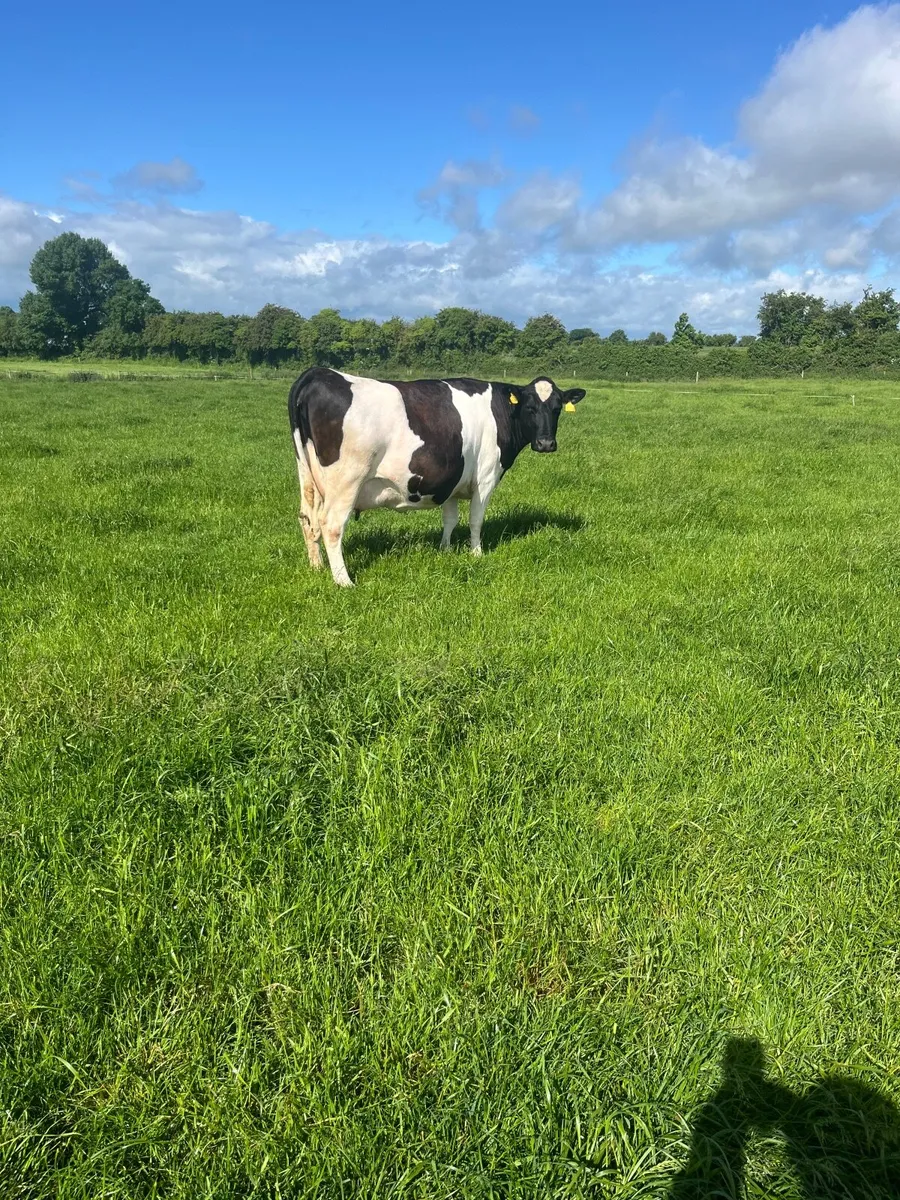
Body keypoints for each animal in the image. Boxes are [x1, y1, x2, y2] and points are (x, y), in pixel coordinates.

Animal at [288, 368, 586, 586]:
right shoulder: (486, 478)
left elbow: (450, 519)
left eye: (557, 408)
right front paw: (476, 553)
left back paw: (316, 567)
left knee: (307, 519)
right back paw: (343, 581)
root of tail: (318, 373)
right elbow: (475, 520)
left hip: (309, 476)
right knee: (331, 525)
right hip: (346, 480)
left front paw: (445, 549)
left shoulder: (451, 480)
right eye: (530, 407)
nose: (546, 443)